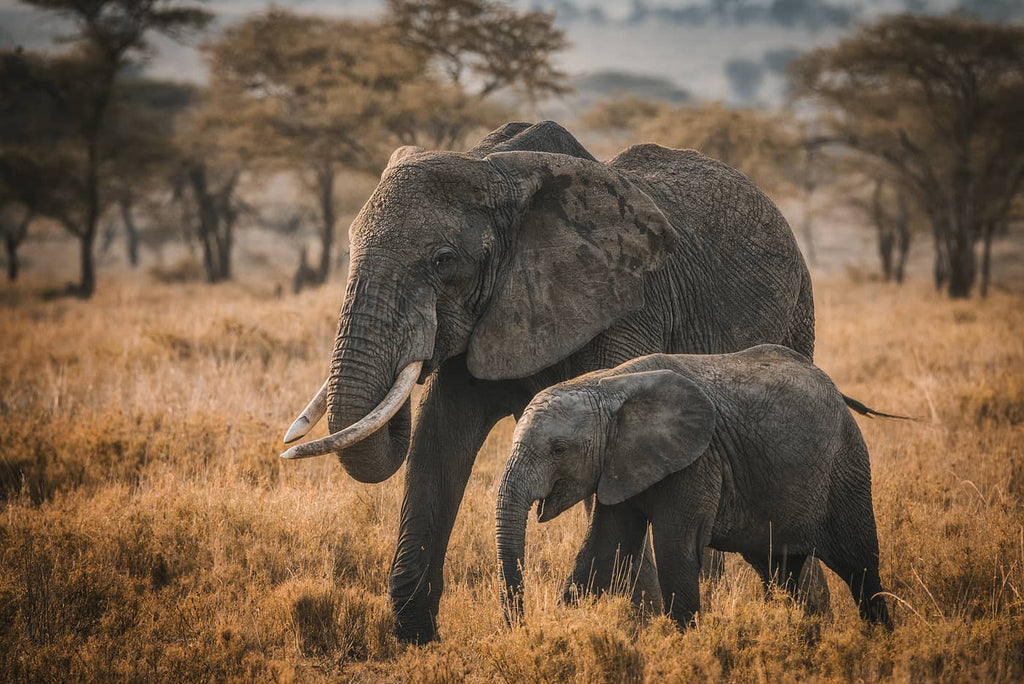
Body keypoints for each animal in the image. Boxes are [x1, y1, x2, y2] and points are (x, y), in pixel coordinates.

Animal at [284, 121, 819, 643]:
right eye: (349, 249)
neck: (499, 169)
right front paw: (415, 639)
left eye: (442, 260)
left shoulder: (624, 307)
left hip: (798, 314)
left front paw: (641, 626)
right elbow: (439, 440)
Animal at [493, 348, 888, 630]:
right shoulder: (618, 465)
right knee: (778, 570)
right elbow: (604, 550)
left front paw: (684, 643)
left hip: (846, 465)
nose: (521, 625)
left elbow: (673, 549)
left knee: (860, 565)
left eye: (558, 450)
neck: (610, 386)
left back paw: (880, 640)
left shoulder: (696, 461)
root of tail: (834, 388)